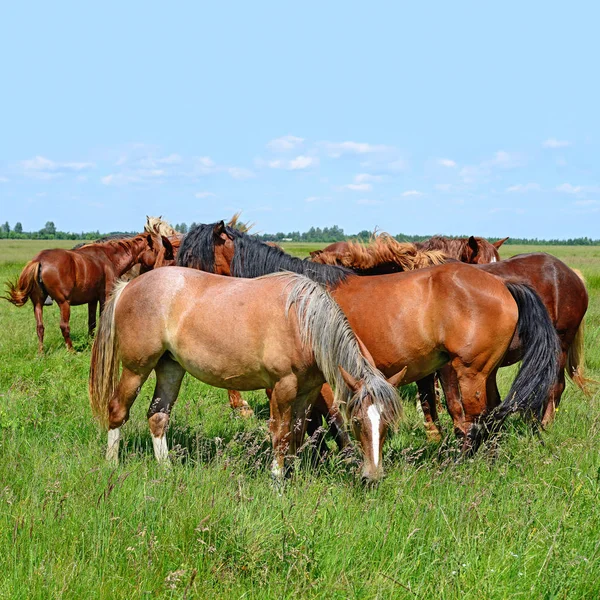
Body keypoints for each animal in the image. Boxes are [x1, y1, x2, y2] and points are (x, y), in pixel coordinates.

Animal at [4, 233, 166, 352]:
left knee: (40, 327)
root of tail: (40, 260)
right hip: (64, 303)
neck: (109, 257)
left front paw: (90, 342)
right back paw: (71, 351)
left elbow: (92, 322)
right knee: (64, 326)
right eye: (156, 251)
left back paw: (41, 353)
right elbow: (101, 320)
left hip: (37, 304)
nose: (160, 269)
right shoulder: (105, 297)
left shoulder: (92, 300)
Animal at [89, 268, 406, 482]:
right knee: (117, 410)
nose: (373, 477)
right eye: (357, 422)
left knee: (158, 417)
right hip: (136, 368)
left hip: (170, 368)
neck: (303, 323)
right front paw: (277, 480)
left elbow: (297, 432)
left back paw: (166, 469)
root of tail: (129, 285)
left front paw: (294, 473)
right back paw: (112, 465)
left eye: (387, 424)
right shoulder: (283, 387)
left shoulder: (307, 391)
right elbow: (280, 433)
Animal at [176, 223, 560, 452]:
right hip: (468, 371)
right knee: (479, 416)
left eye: (194, 256)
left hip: (470, 372)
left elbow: (325, 420)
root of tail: (502, 284)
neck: (296, 298)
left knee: (477, 418)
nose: (177, 286)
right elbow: (313, 422)